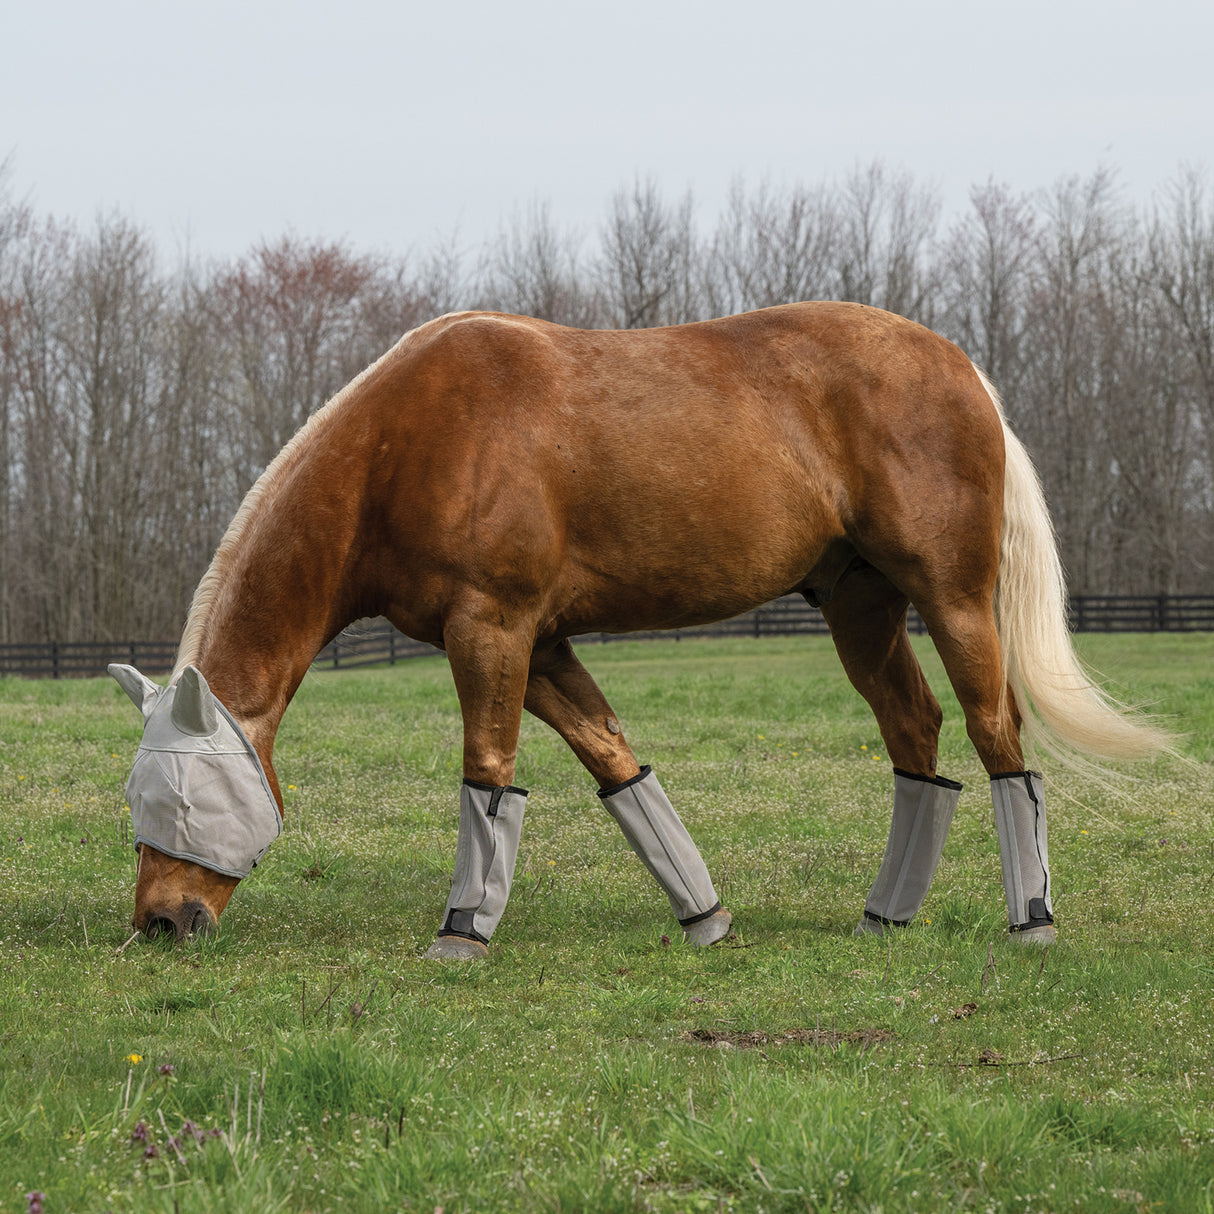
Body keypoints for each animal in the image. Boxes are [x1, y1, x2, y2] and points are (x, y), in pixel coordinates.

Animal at [110, 301, 1169, 953]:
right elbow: (614, 763)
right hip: (861, 607)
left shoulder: (491, 629)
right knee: (917, 738)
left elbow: (488, 771)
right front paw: (706, 919)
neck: (407, 445)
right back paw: (883, 918)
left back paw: (1032, 922)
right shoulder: (540, 643)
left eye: (181, 796)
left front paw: (461, 932)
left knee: (997, 735)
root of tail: (964, 370)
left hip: (951, 600)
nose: (159, 922)